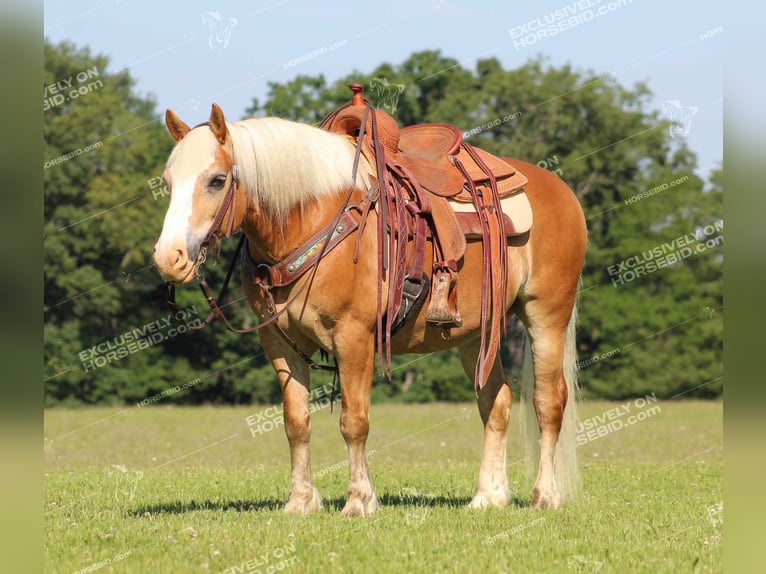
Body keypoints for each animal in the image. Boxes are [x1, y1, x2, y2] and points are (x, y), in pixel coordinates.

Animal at [154, 103, 588, 516]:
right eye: (168, 182)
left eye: (217, 180)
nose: (168, 258)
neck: (315, 220)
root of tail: (557, 188)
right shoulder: (278, 342)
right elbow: (296, 422)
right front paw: (300, 502)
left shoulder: (354, 337)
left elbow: (354, 422)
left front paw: (359, 500)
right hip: (475, 335)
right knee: (495, 404)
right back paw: (488, 497)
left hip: (547, 316)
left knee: (548, 403)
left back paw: (544, 495)